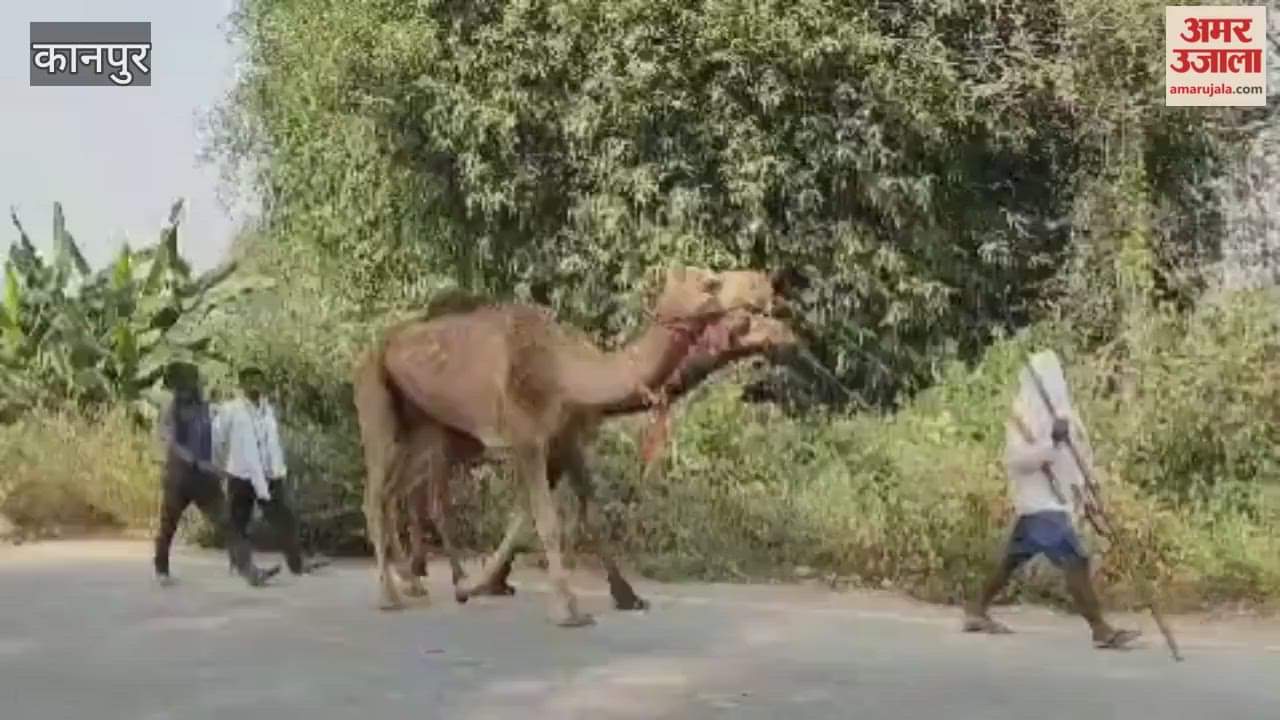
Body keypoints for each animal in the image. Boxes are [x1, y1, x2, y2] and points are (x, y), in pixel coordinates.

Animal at [354, 267, 785, 625]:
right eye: (711, 283)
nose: (762, 285)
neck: (568, 372)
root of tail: (375, 347)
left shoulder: (566, 438)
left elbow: (585, 510)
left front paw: (626, 596)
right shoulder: (527, 438)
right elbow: (546, 520)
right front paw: (568, 610)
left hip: (423, 426)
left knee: (395, 493)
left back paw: (417, 583)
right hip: (377, 403)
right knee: (377, 496)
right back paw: (391, 595)